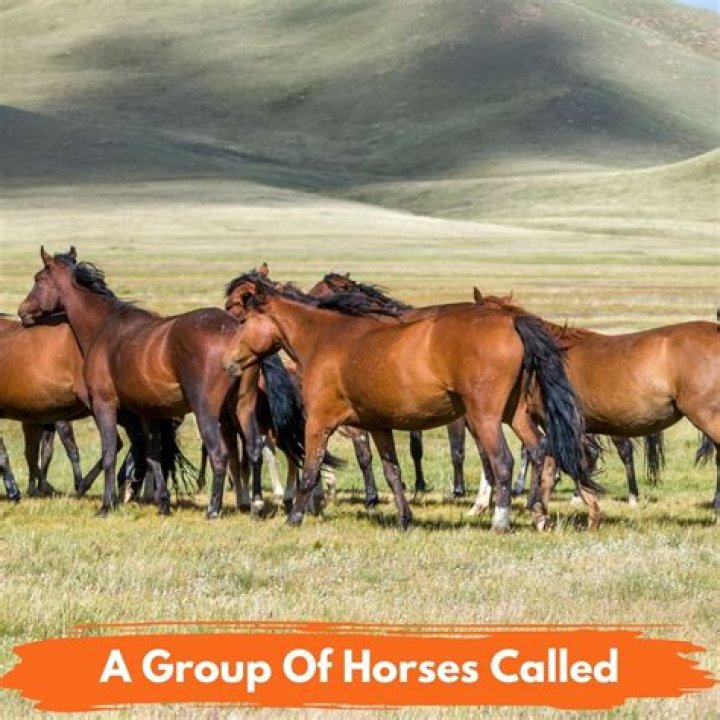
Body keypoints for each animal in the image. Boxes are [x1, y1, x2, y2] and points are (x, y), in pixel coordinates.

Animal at [223, 276, 598, 531]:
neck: (326, 338)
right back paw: (538, 513)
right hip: (514, 414)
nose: (229, 361)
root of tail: (510, 320)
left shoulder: (319, 422)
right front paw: (404, 517)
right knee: (538, 450)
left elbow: (312, 468)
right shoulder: (378, 425)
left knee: (502, 461)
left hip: (484, 417)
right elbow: (392, 472)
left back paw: (500, 521)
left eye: (242, 319)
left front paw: (295, 516)